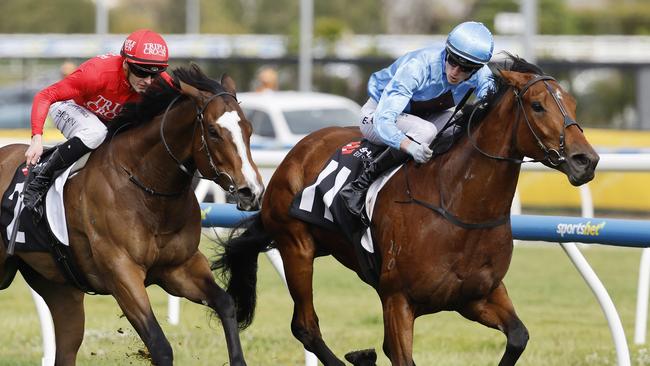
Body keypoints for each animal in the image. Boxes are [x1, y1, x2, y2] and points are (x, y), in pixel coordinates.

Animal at [0, 64, 264, 364]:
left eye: (249, 129)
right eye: (213, 131)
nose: (251, 191)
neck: (145, 186)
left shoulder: (179, 267)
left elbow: (225, 303)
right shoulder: (122, 272)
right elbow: (159, 345)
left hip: (58, 286)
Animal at [216, 55, 596, 366]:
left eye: (573, 103)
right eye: (537, 105)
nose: (586, 160)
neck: (457, 207)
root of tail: (300, 149)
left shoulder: (477, 296)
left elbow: (518, 336)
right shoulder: (398, 300)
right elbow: (398, 353)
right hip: (297, 247)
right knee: (305, 327)